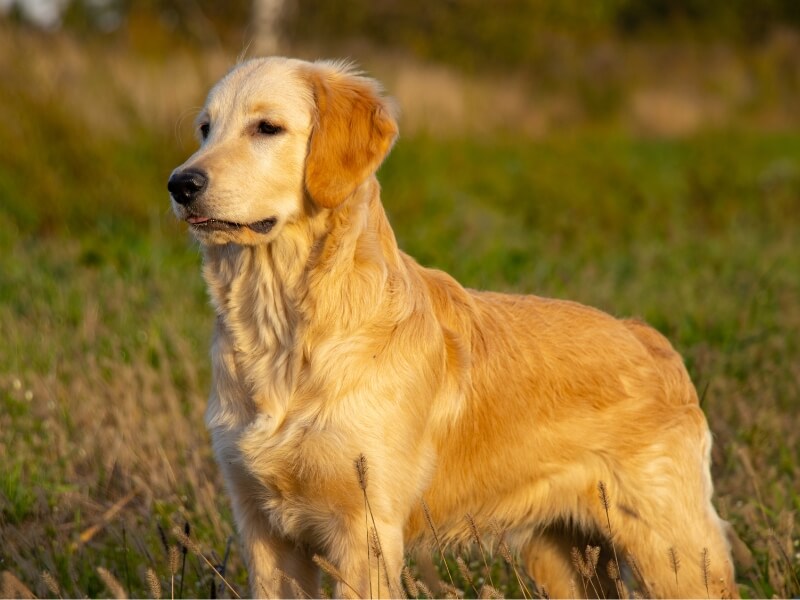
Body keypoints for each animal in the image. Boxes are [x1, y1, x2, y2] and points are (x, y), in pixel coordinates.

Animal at [169, 57, 736, 600]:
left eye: (267, 127)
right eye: (205, 129)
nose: (181, 184)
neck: (282, 328)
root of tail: (645, 335)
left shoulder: (365, 529)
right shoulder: (265, 531)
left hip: (676, 554)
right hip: (563, 556)